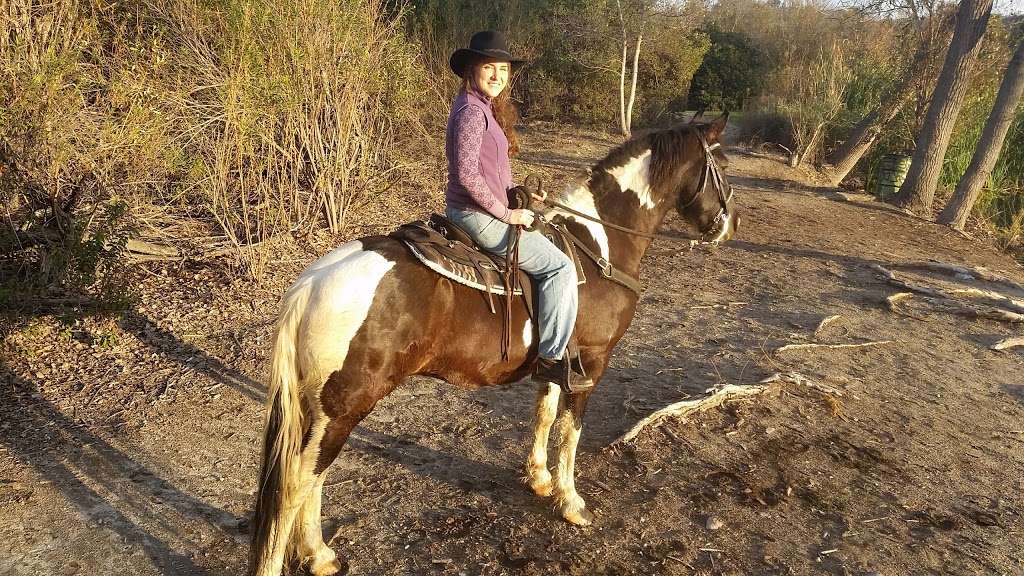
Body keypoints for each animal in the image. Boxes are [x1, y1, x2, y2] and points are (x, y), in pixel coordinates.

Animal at [251, 114, 741, 569]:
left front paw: (539, 479)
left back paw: (319, 555)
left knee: (312, 478)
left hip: (324, 412)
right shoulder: (592, 362)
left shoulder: (557, 362)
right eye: (722, 166)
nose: (730, 225)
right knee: (298, 482)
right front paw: (570, 501)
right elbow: (571, 431)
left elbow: (545, 415)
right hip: (344, 407)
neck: (599, 244)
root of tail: (311, 284)